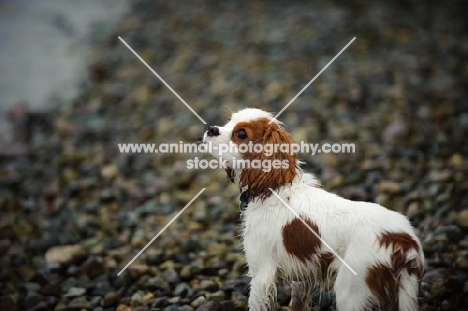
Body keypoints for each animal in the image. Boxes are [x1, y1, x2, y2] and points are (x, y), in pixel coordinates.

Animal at [202, 108, 424, 310]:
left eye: (241, 134)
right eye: (228, 121)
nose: (211, 129)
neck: (274, 188)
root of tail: (402, 241)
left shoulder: (262, 276)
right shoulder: (302, 277)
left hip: (350, 291)